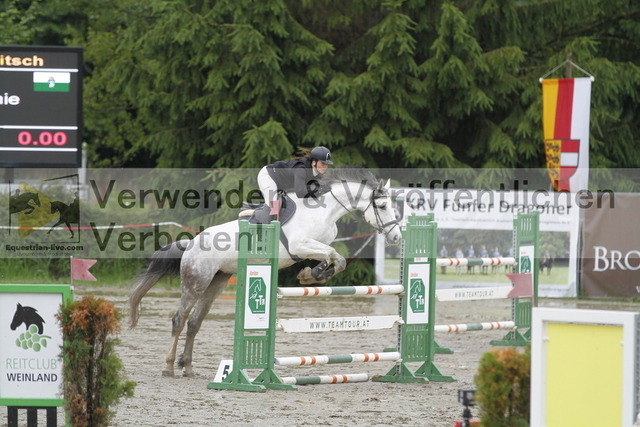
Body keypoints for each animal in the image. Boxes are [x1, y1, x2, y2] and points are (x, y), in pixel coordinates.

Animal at [129, 167, 402, 377]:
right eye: (382, 205)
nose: (396, 237)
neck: (325, 211)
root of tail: (191, 243)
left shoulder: (313, 247)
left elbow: (336, 258)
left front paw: (310, 274)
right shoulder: (300, 245)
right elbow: (335, 256)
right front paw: (311, 274)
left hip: (217, 281)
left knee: (195, 322)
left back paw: (188, 368)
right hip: (197, 281)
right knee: (179, 319)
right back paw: (168, 368)